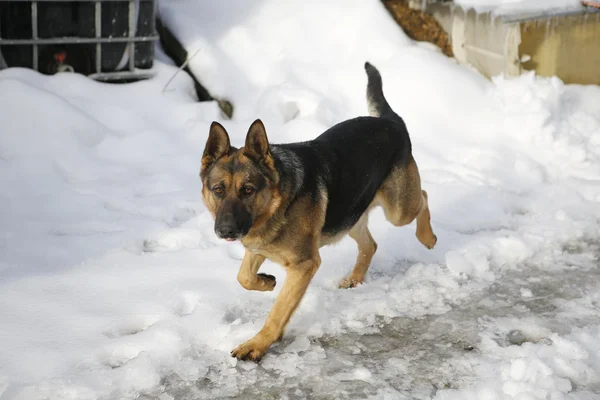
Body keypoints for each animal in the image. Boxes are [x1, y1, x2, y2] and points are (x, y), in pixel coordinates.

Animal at [202, 62, 436, 362]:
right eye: (218, 190)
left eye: (248, 190)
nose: (226, 231)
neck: (278, 201)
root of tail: (391, 121)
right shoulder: (257, 247)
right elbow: (243, 277)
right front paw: (266, 282)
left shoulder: (304, 265)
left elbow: (278, 311)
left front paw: (258, 344)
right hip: (350, 216)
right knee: (370, 244)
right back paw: (355, 278)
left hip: (398, 210)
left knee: (423, 198)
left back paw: (427, 237)